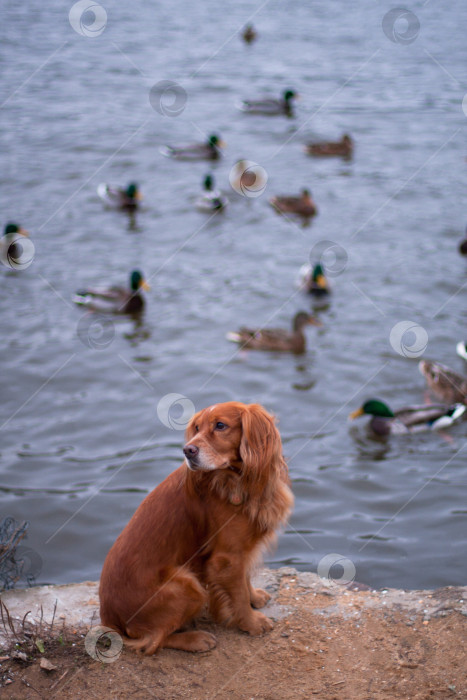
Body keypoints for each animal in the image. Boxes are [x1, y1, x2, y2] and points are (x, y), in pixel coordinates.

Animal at [99, 402, 292, 652]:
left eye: (220, 425)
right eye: (197, 428)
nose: (187, 450)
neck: (238, 480)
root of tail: (109, 617)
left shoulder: (240, 551)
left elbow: (245, 577)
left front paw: (255, 598)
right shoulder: (226, 558)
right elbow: (238, 594)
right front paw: (251, 623)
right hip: (187, 585)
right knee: (152, 641)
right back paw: (196, 639)